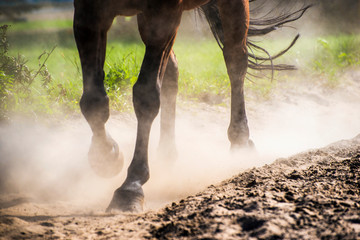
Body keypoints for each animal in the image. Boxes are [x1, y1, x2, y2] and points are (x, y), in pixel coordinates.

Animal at [72, 0, 310, 212]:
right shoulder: (88, 12)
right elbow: (93, 100)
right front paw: (105, 157)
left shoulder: (164, 15)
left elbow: (146, 95)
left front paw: (132, 186)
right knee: (173, 71)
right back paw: (166, 154)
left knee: (235, 60)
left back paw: (239, 141)